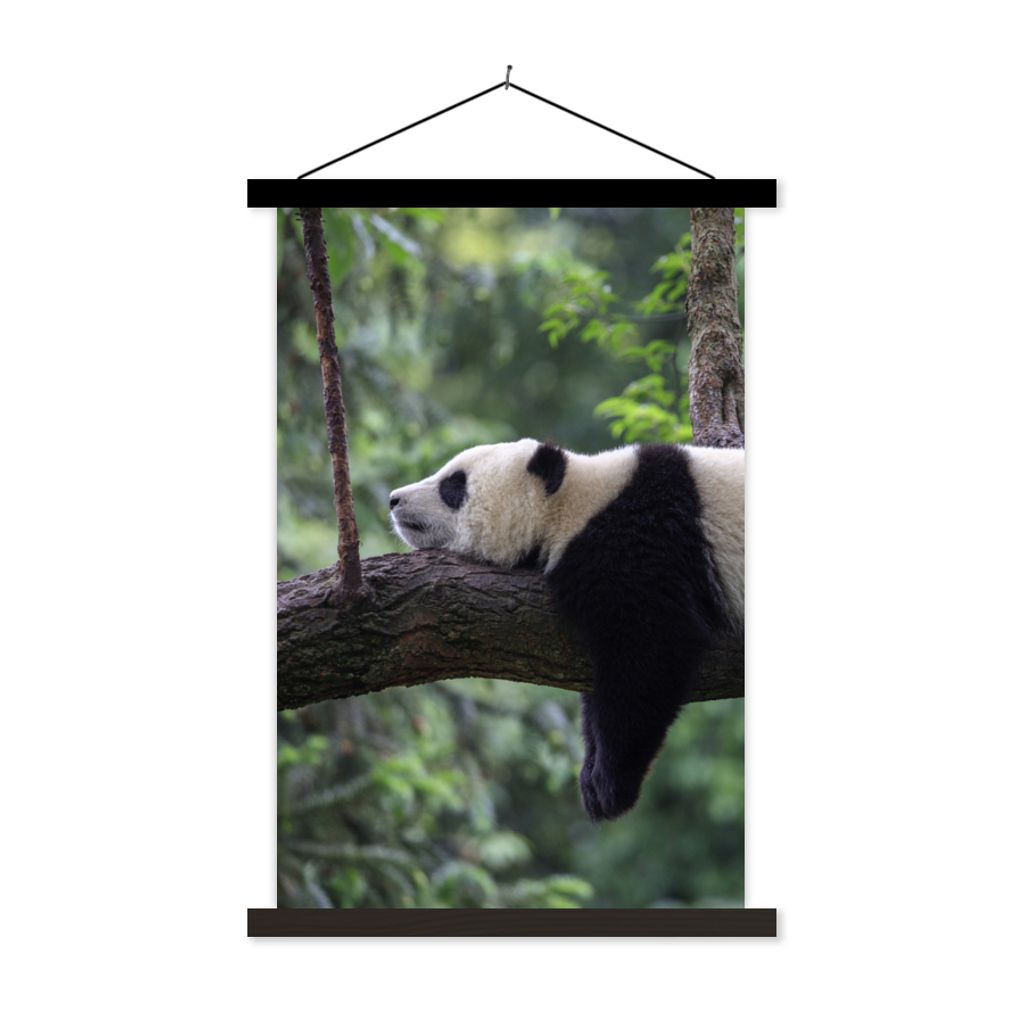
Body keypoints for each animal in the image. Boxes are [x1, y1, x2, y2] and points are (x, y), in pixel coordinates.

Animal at [388, 438, 743, 822]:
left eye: (454, 485)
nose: (394, 499)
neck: (573, 502)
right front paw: (590, 775)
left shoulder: (643, 542)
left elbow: (654, 648)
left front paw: (611, 783)